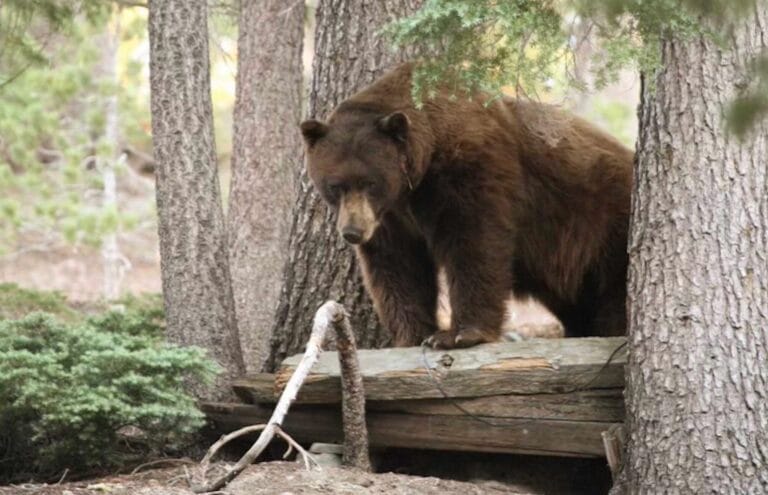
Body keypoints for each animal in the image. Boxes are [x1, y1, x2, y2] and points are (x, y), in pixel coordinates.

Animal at [304, 63, 632, 348]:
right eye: (335, 185)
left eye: (370, 182)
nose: (352, 232)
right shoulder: (391, 217)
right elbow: (397, 264)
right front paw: (412, 335)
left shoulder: (470, 170)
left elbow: (474, 243)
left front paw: (459, 334)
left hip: (603, 226)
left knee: (614, 296)